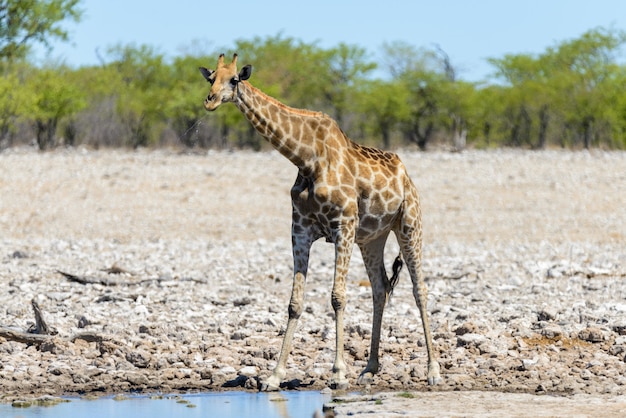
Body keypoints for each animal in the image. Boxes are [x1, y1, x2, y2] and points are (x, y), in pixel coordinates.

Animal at [199, 54, 438, 390]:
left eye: (234, 80)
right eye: (211, 79)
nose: (209, 101)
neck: (306, 158)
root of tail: (406, 174)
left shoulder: (343, 225)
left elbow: (337, 297)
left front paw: (338, 373)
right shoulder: (300, 229)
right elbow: (294, 302)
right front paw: (274, 376)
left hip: (409, 223)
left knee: (420, 290)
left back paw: (433, 370)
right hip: (371, 238)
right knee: (380, 288)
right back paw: (370, 368)